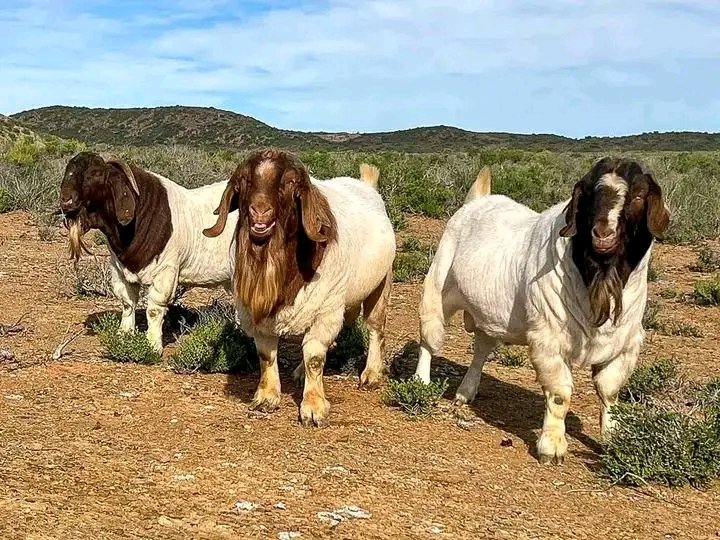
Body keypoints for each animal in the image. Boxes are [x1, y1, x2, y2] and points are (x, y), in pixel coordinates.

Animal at [60, 151, 238, 351]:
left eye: (96, 173)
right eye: (68, 170)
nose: (65, 199)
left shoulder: (165, 271)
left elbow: (154, 308)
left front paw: (153, 344)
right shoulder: (118, 269)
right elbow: (127, 303)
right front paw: (124, 335)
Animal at [204, 149, 395, 427]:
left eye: (290, 183)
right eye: (245, 180)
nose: (260, 211)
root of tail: (367, 184)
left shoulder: (326, 309)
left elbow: (314, 357)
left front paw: (313, 408)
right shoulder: (256, 314)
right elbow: (266, 354)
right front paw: (266, 397)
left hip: (379, 285)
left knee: (374, 328)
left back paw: (371, 374)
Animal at [414, 158, 670, 464]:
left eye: (639, 195)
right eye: (590, 192)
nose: (603, 232)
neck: (598, 277)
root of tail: (477, 200)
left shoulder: (626, 344)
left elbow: (609, 392)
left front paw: (613, 437)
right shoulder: (550, 339)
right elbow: (560, 395)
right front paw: (551, 447)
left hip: (490, 316)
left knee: (481, 350)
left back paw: (465, 392)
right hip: (437, 289)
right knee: (430, 339)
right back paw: (420, 383)